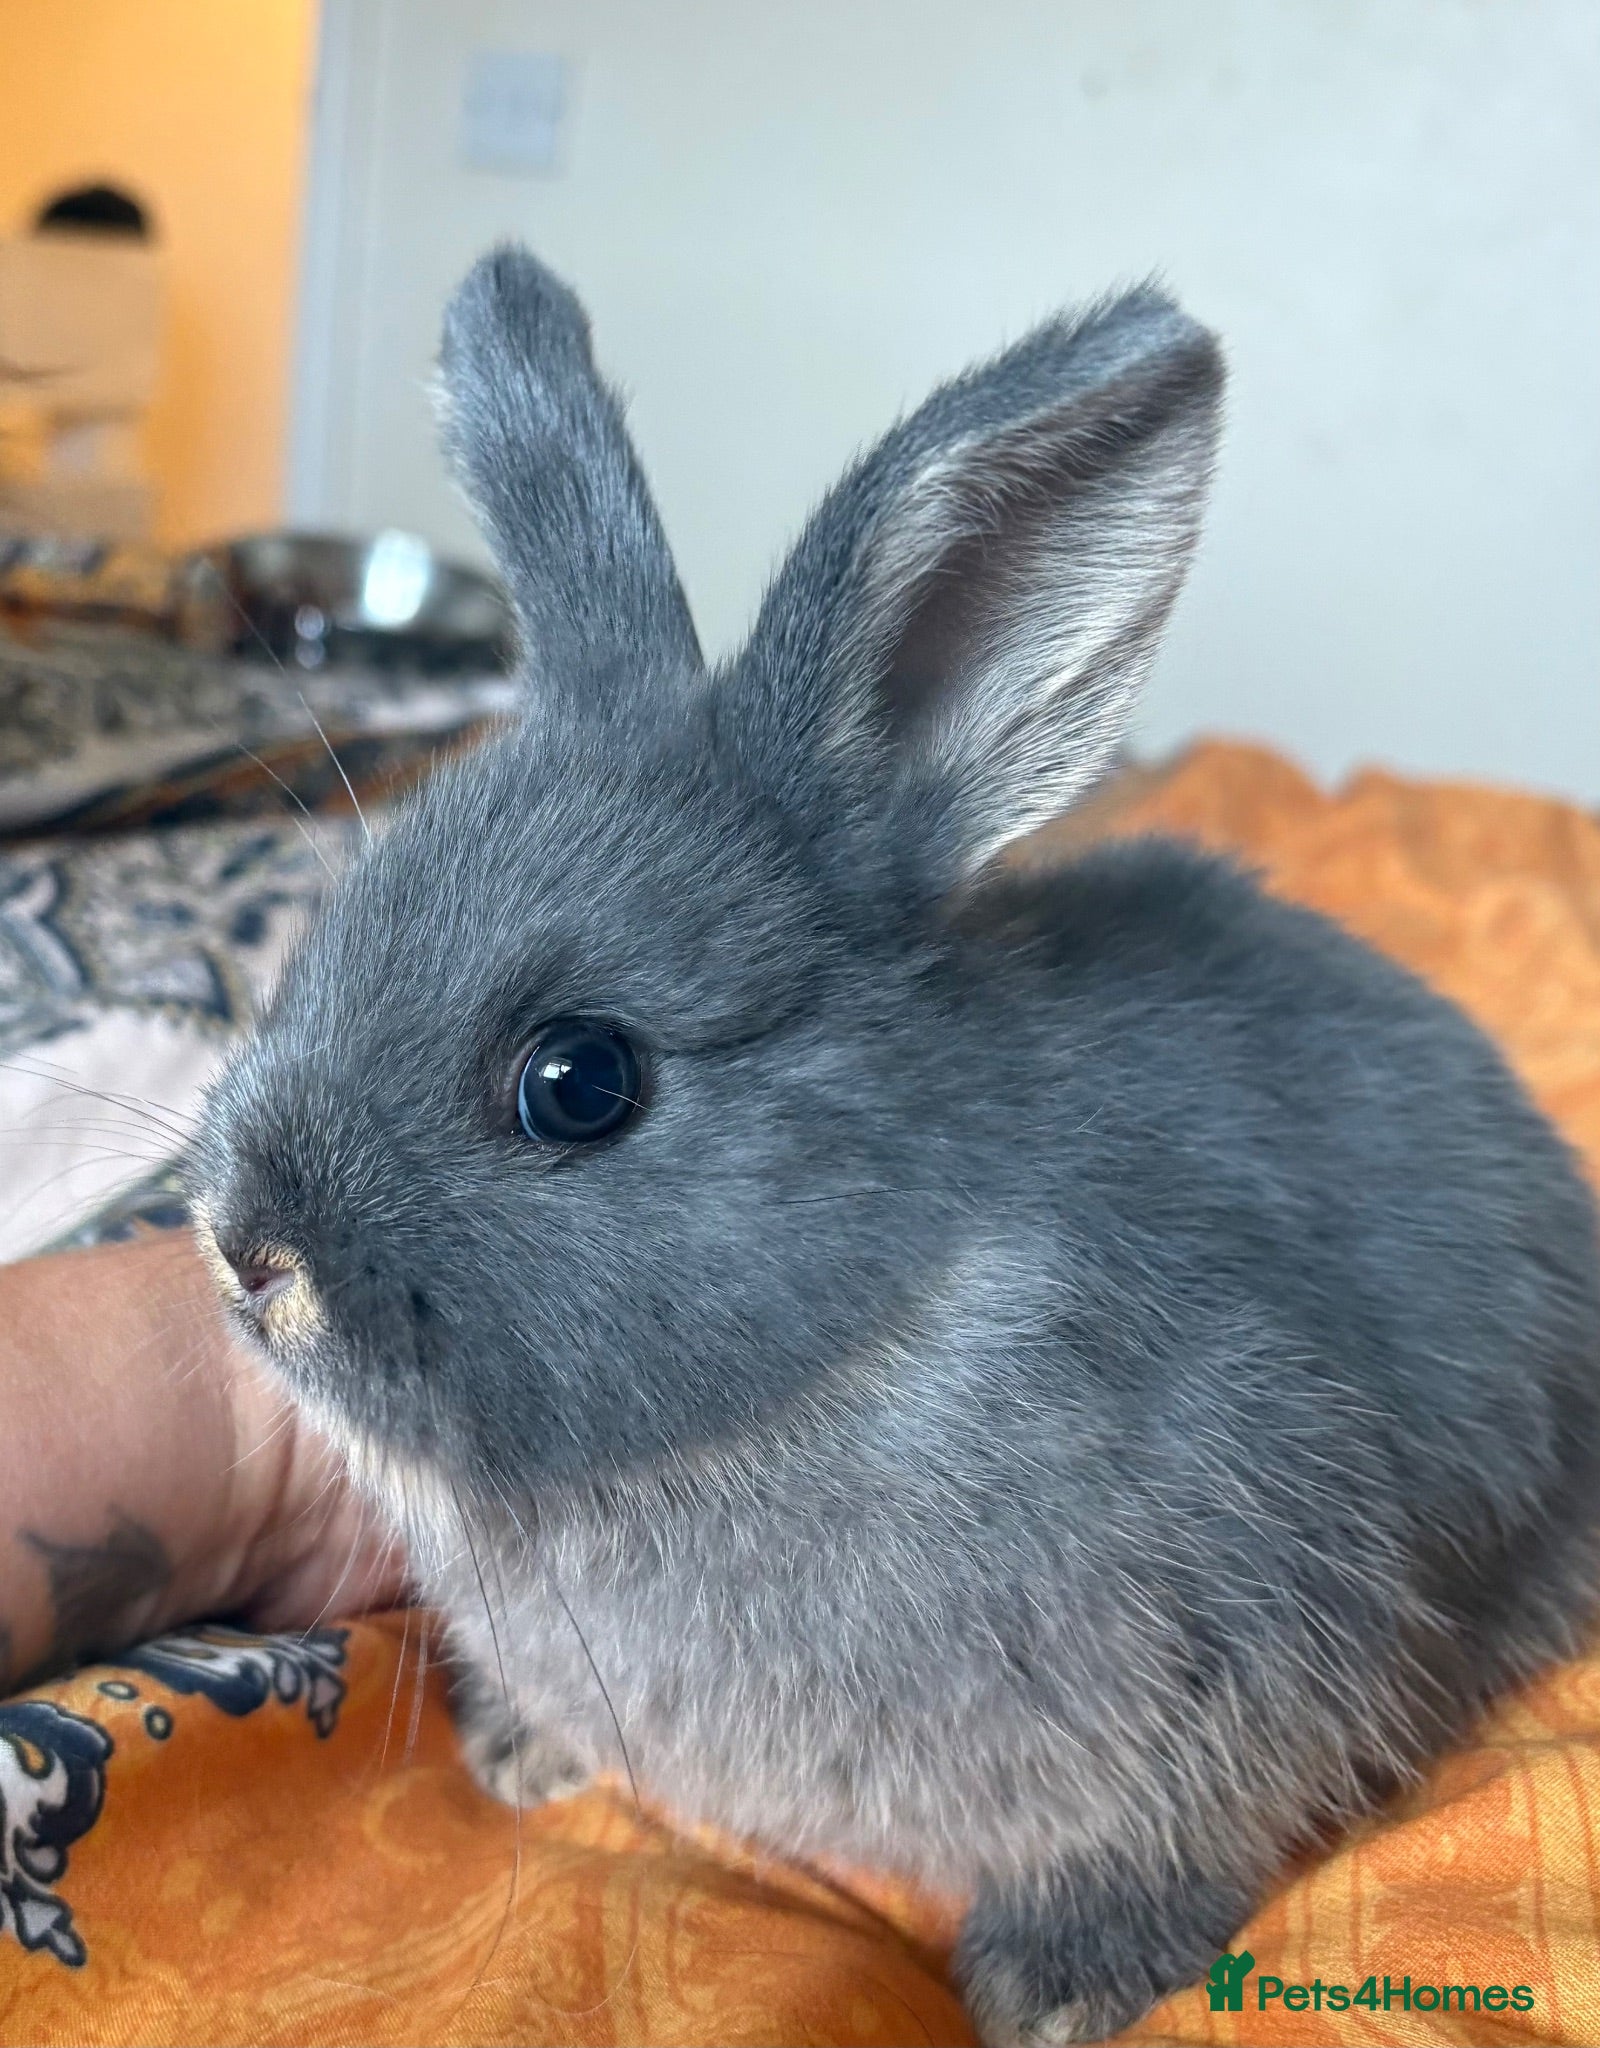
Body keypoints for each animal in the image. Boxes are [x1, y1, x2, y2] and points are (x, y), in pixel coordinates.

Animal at [188, 245, 1600, 2046]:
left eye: (581, 1081)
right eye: (324, 932)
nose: (248, 1247)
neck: (872, 1318)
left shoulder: (1254, 1650)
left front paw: (1061, 1988)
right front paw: (522, 1755)